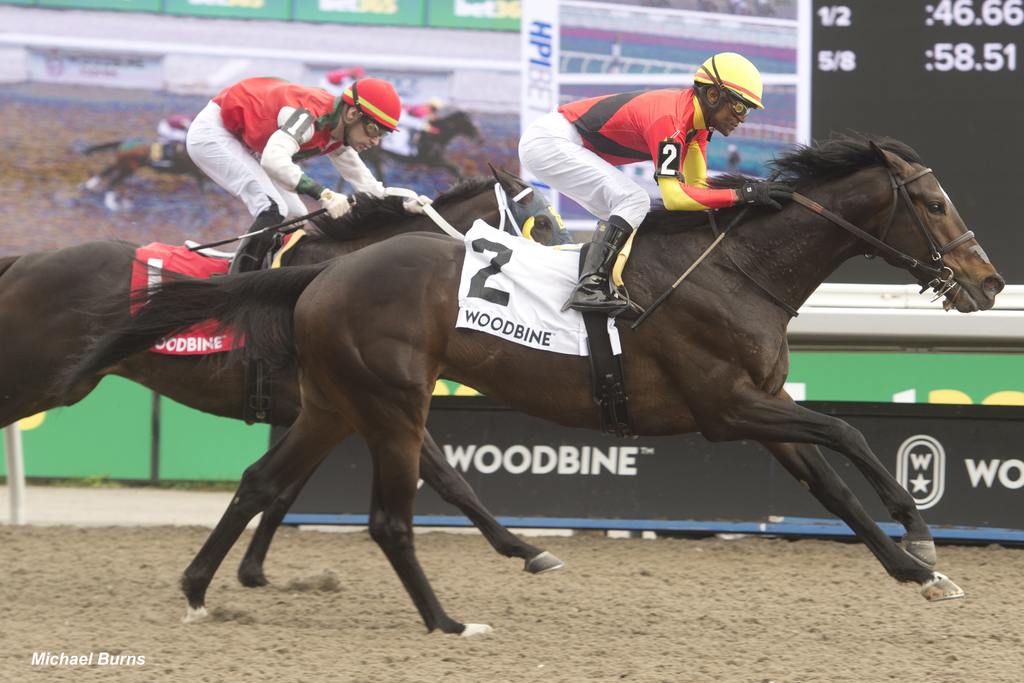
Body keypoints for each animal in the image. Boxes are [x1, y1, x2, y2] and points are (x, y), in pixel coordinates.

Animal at [0, 167, 569, 585]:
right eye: (540, 224)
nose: (573, 286)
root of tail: (24, 261)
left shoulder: (330, 410)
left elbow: (283, 490)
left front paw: (252, 570)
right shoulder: (376, 402)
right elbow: (450, 478)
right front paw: (526, 548)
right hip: (36, 378)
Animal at [74, 136, 1007, 638]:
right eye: (932, 201)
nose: (990, 282)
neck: (736, 268)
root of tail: (321, 273)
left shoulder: (761, 408)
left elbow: (833, 487)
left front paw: (915, 570)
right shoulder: (727, 405)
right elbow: (849, 434)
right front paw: (923, 533)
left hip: (336, 402)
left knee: (265, 478)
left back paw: (201, 589)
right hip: (387, 401)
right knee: (379, 510)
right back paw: (445, 617)